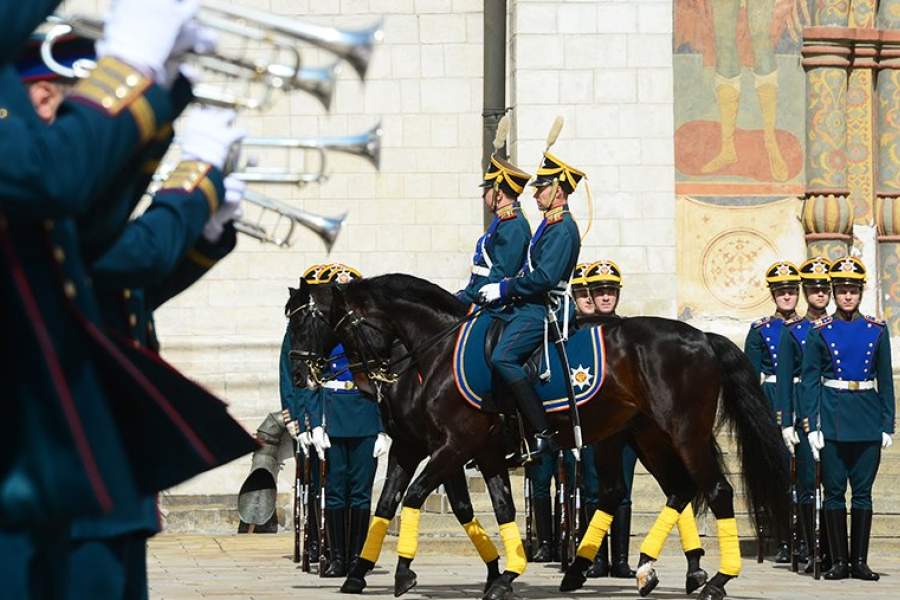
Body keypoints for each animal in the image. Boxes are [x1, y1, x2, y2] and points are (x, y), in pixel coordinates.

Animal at [288, 274, 788, 600]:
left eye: (315, 322)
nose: (298, 374)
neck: (433, 352)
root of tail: (702, 336)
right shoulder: (443, 450)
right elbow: (452, 506)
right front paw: (502, 573)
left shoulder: (452, 447)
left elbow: (413, 498)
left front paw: (403, 573)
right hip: (644, 436)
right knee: (670, 490)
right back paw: (640, 568)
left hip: (682, 434)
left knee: (715, 490)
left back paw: (715, 579)